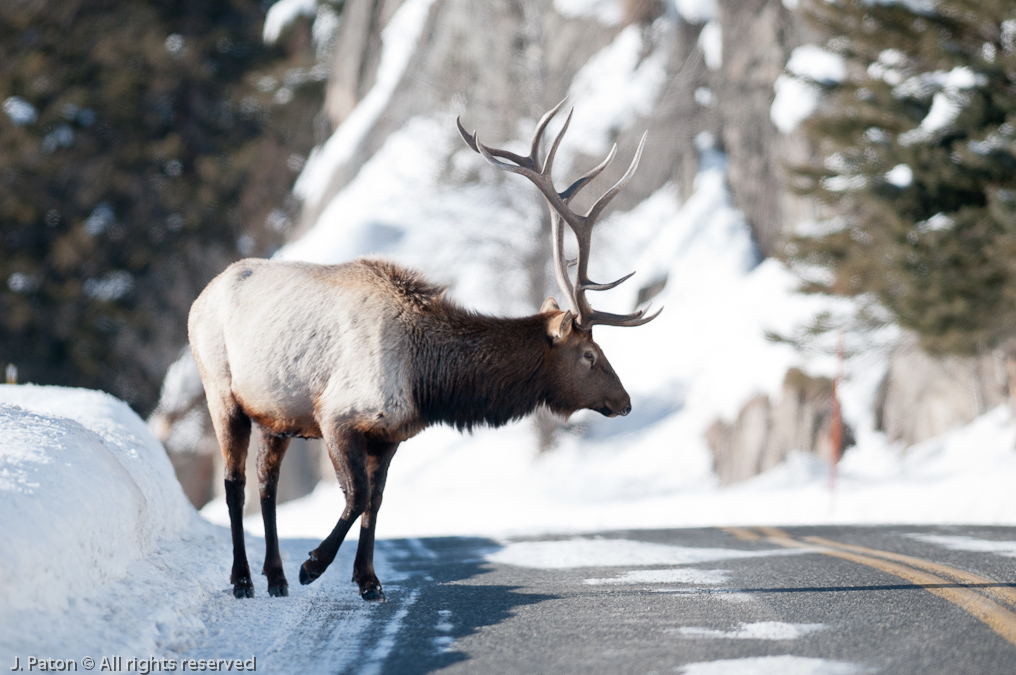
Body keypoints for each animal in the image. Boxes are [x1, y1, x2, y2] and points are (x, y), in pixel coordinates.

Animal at [187, 100, 661, 601]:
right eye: (590, 355)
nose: (625, 402)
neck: (428, 380)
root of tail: (200, 298)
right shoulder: (336, 415)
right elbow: (356, 497)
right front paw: (314, 565)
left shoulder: (391, 433)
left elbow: (375, 502)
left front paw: (369, 581)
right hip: (221, 391)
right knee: (234, 483)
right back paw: (243, 579)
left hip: (275, 415)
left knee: (266, 482)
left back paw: (274, 576)